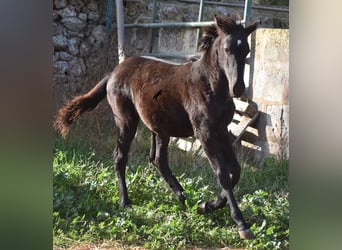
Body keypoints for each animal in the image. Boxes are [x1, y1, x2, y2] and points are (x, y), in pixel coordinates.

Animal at [54, 14, 258, 239]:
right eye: (227, 49)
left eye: (246, 50)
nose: (238, 87)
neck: (209, 85)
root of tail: (113, 73)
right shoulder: (204, 132)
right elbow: (222, 174)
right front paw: (241, 224)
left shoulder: (222, 131)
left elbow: (235, 171)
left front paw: (207, 205)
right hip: (126, 121)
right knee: (121, 157)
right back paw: (126, 202)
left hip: (160, 128)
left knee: (158, 160)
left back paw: (184, 199)